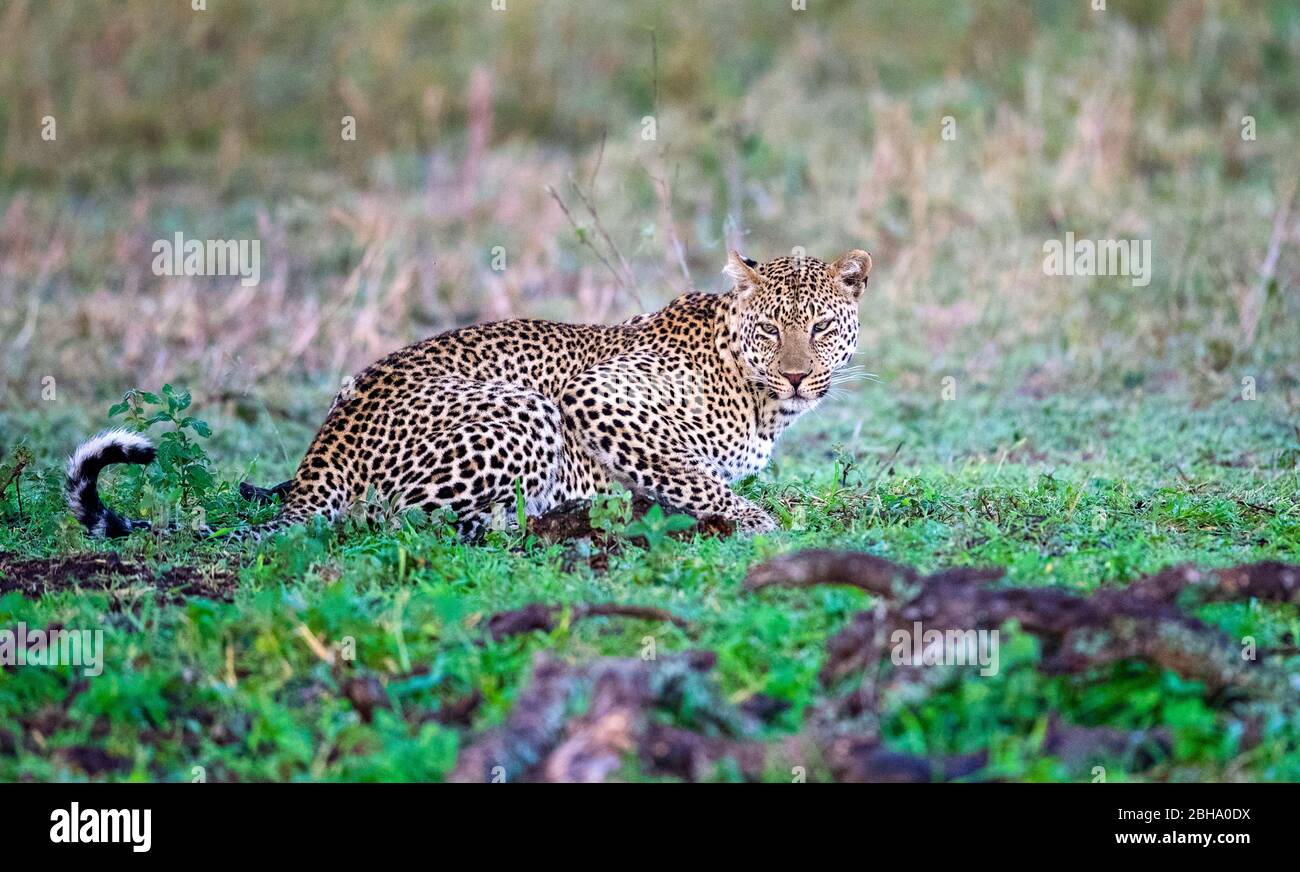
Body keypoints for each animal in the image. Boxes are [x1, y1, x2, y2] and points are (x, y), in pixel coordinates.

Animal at [63, 249, 873, 543]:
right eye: (770, 328)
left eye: (820, 326)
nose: (796, 374)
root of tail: (327, 443)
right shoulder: (598, 397)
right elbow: (695, 477)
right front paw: (760, 522)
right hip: (521, 412)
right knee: (400, 519)